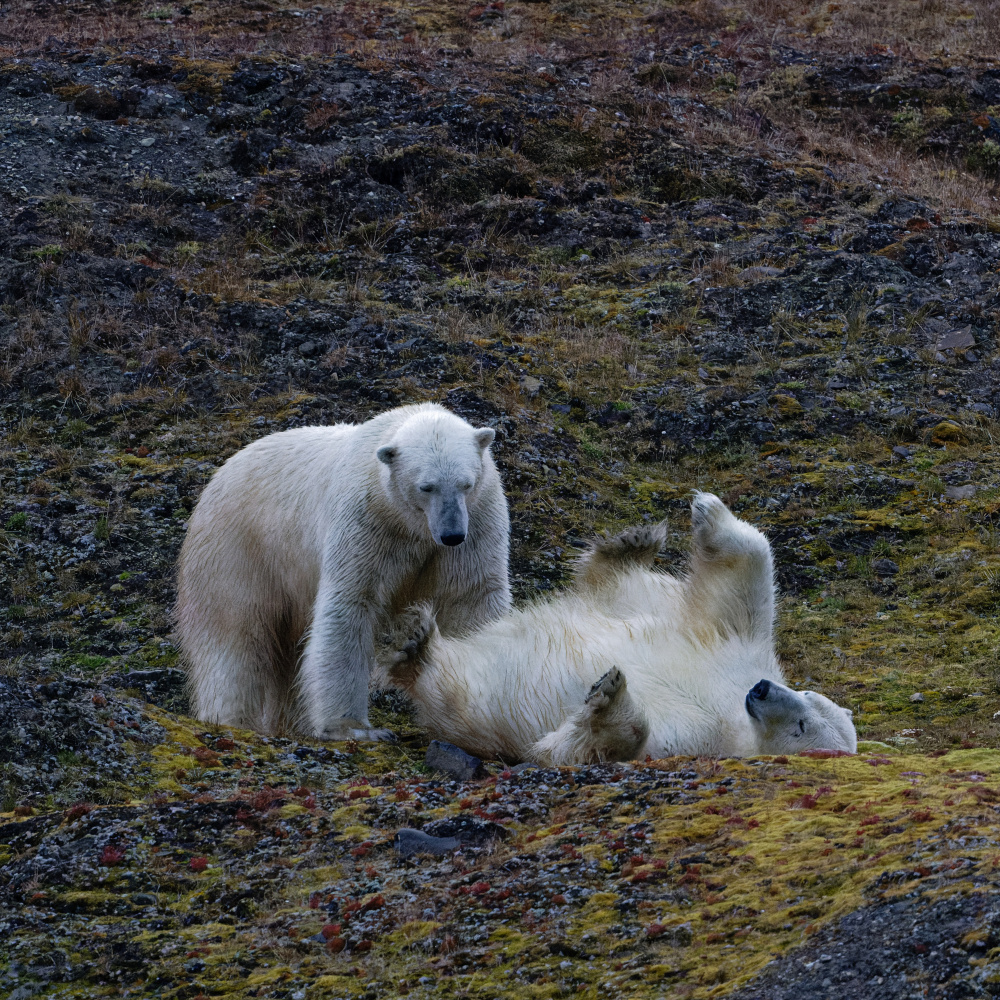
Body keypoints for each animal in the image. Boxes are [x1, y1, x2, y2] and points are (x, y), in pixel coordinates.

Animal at [175, 402, 511, 741]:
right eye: (426, 487)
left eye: (466, 484)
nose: (451, 534)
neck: (412, 525)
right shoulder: (368, 521)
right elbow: (350, 603)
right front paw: (353, 728)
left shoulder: (477, 522)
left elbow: (471, 600)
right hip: (238, 550)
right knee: (235, 636)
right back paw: (232, 720)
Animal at [381, 493, 856, 763]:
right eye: (806, 694)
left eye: (801, 728)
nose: (760, 690)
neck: (733, 717)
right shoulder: (736, 654)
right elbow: (741, 595)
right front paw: (710, 510)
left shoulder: (693, 744)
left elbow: (581, 750)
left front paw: (606, 698)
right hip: (643, 603)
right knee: (626, 587)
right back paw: (629, 545)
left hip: (478, 709)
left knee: (453, 691)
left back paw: (415, 644)